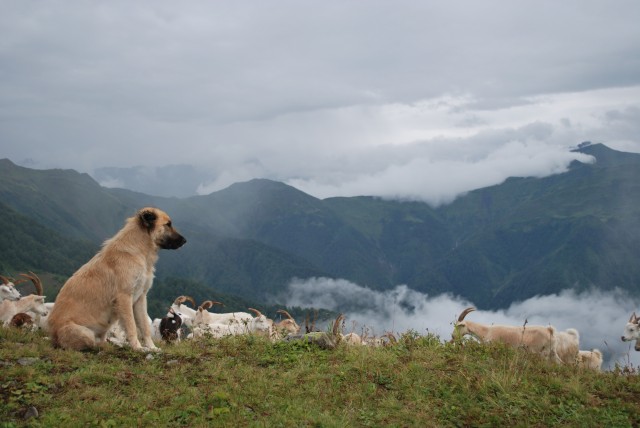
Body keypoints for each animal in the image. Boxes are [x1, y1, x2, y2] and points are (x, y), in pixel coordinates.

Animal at [47, 207, 186, 352]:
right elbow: (131, 326)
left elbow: (144, 327)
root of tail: (53, 335)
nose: (185, 241)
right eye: (168, 224)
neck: (138, 249)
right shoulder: (124, 297)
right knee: (88, 344)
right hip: (85, 333)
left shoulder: (140, 298)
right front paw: (137, 347)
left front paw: (151, 347)